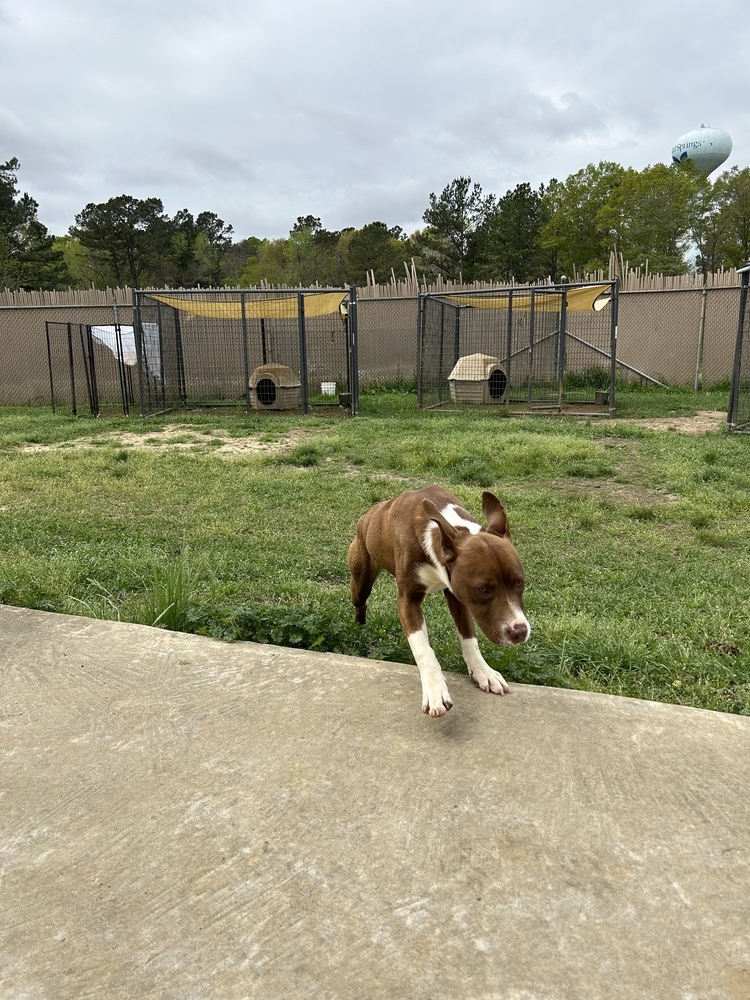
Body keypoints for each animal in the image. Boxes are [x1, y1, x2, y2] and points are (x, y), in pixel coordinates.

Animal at [350, 486, 532, 716]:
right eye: (483, 589)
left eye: (519, 582)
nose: (520, 631)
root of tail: (369, 513)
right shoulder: (408, 601)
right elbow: (423, 649)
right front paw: (435, 690)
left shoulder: (457, 595)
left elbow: (469, 638)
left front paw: (483, 671)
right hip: (361, 580)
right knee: (361, 603)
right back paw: (359, 627)